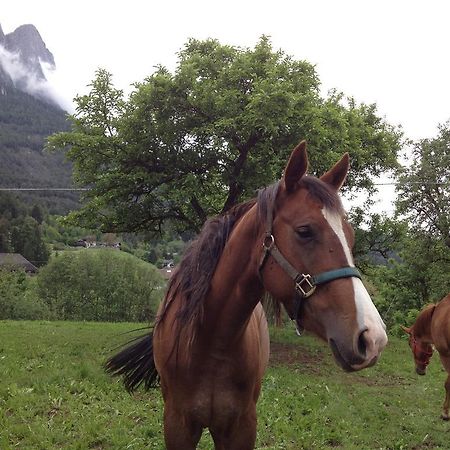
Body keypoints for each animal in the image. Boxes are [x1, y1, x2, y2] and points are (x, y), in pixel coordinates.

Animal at [105, 142, 386, 450]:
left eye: (350, 236)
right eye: (304, 231)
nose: (372, 338)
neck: (210, 345)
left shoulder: (241, 427)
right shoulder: (178, 425)